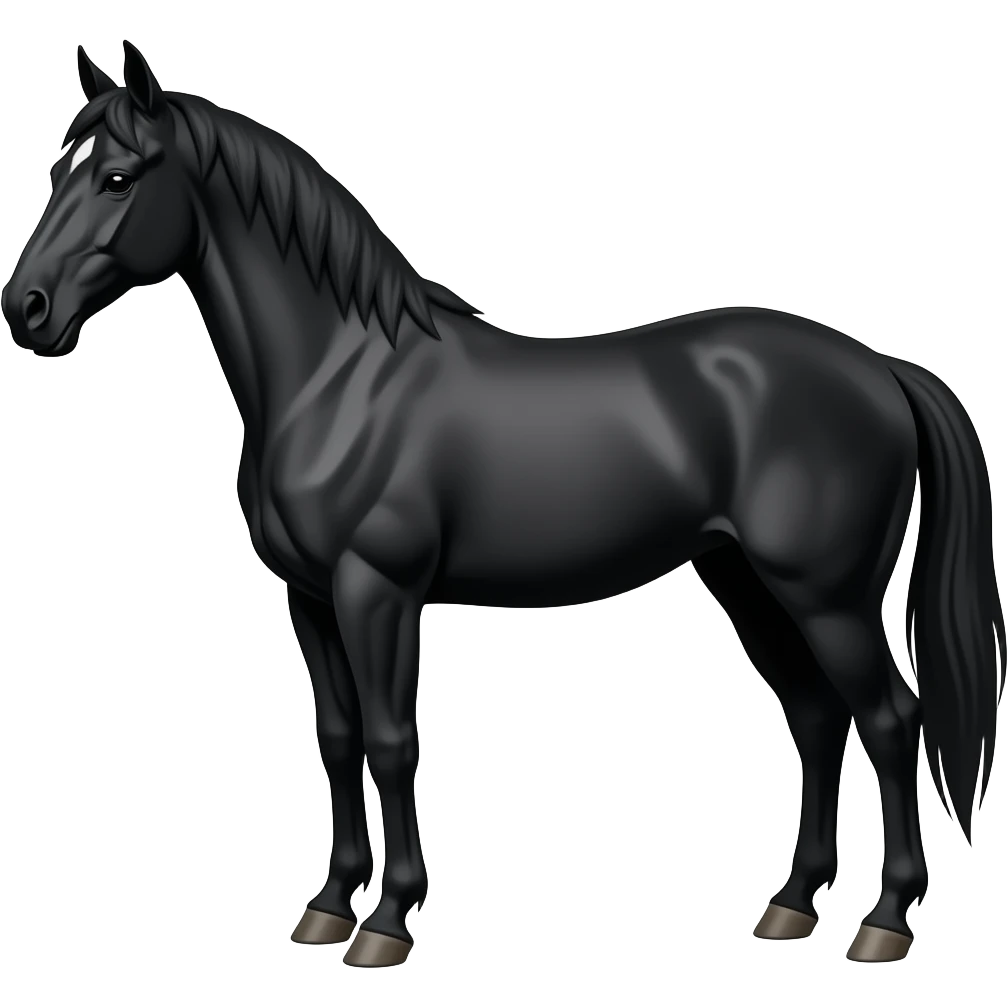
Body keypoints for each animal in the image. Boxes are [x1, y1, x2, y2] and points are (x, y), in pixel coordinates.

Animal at [3, 42, 1004, 967]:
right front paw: (327, 906)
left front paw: (387, 922)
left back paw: (883, 922)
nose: (27, 309)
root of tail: (879, 368)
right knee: (818, 717)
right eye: (58, 173)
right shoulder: (311, 596)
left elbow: (392, 741)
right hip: (748, 583)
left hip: (828, 596)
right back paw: (792, 907)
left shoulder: (378, 590)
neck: (341, 375)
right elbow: (338, 739)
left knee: (891, 721)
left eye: (120, 178)